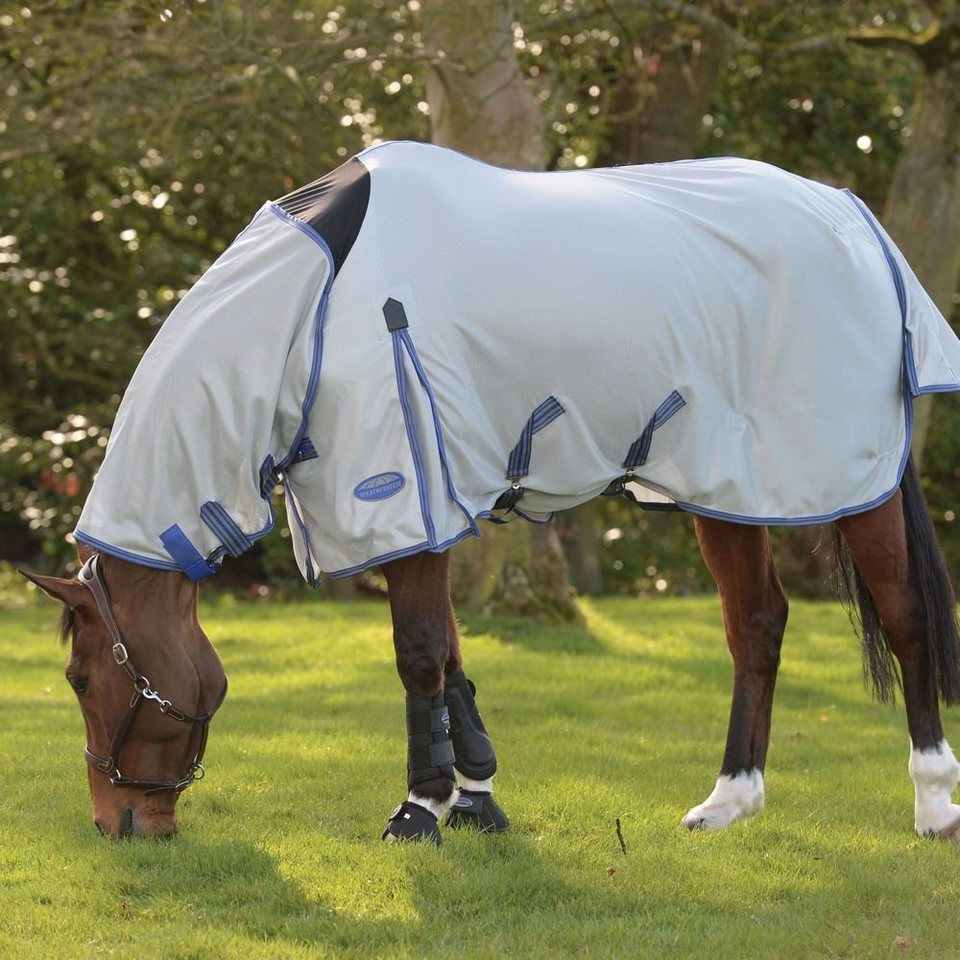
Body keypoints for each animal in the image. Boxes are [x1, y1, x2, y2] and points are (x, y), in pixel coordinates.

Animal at [23, 141, 960, 844]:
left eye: (79, 677)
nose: (117, 821)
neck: (311, 312)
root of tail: (853, 217)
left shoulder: (398, 495)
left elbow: (418, 653)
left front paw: (419, 809)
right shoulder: (431, 508)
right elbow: (450, 652)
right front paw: (473, 796)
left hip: (847, 478)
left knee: (906, 617)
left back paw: (932, 802)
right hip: (728, 487)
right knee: (756, 626)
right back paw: (729, 800)